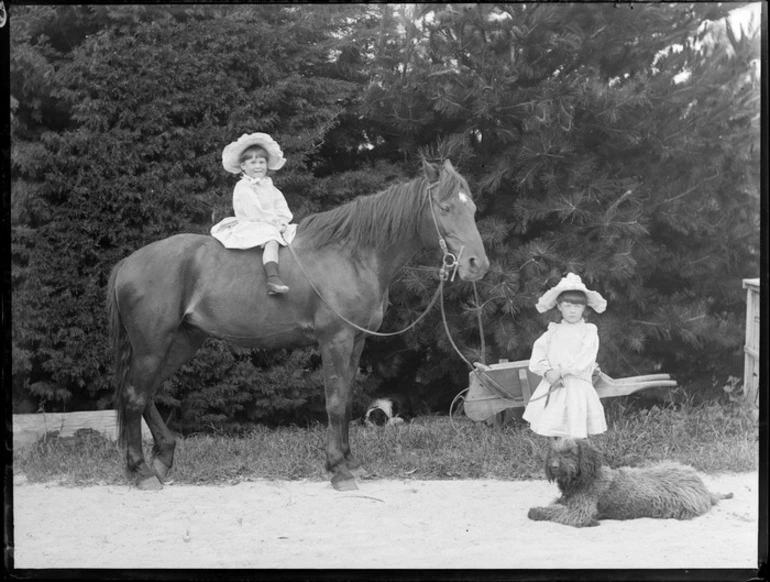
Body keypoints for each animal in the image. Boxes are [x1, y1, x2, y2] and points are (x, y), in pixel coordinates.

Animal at [107, 160, 486, 492]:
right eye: (445, 207)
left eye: (472, 208)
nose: (477, 264)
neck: (352, 255)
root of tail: (128, 263)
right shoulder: (335, 340)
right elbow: (335, 402)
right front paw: (338, 471)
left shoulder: (356, 341)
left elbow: (347, 397)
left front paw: (350, 463)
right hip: (153, 344)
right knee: (135, 395)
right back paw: (142, 472)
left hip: (183, 341)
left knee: (147, 393)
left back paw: (161, 460)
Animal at [524, 438, 728, 528]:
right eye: (554, 453)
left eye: (569, 453)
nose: (554, 466)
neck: (584, 479)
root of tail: (702, 486)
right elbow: (555, 505)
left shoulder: (579, 513)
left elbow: (555, 511)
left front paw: (535, 511)